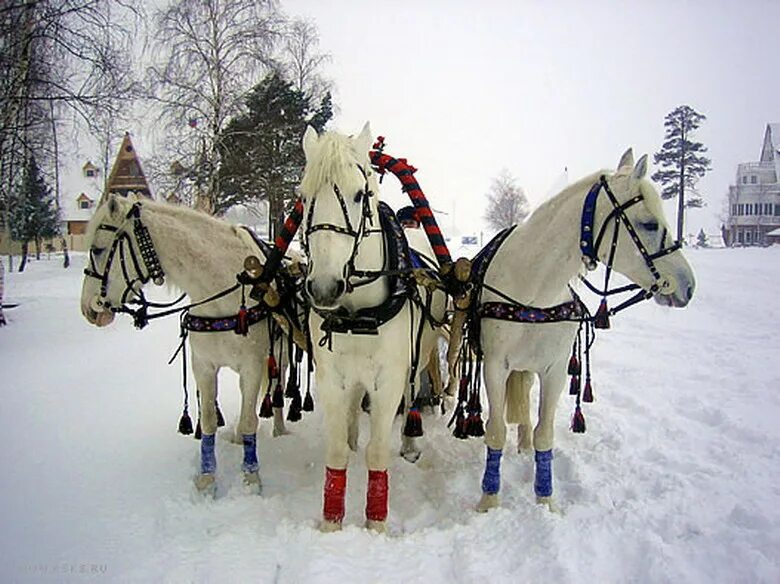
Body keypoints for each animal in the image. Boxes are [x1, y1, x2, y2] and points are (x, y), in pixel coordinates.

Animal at [79, 194, 298, 496]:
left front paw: (251, 479)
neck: (220, 290)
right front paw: (207, 480)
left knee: (276, 388)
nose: (88, 308)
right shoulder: (203, 366)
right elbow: (208, 420)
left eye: (98, 249)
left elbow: (249, 419)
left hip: (280, 355)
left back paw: (278, 428)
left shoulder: (252, 366)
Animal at [298, 124, 444, 532]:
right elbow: (336, 451)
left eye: (360, 194)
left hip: (417, 356)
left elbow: (377, 451)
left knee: (413, 394)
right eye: (303, 196)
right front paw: (331, 524)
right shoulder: (332, 377)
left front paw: (375, 525)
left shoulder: (389, 378)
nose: (324, 288)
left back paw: (409, 440)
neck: (357, 316)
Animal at [472, 149, 696, 512]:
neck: (533, 292)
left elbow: (544, 433)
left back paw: (523, 443)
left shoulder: (554, 370)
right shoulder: (494, 366)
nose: (688, 285)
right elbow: (494, 431)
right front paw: (488, 501)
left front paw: (545, 501)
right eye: (649, 223)